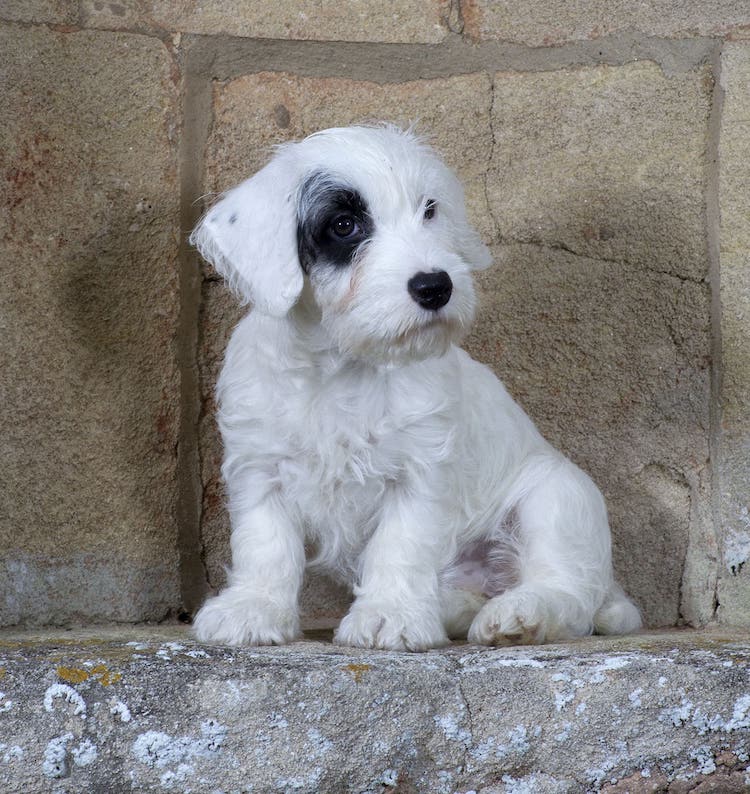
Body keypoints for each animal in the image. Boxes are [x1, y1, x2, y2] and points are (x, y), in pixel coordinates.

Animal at [191, 120, 644, 648]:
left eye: (429, 210)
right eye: (343, 225)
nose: (436, 286)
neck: (342, 365)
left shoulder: (418, 471)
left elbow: (400, 546)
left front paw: (390, 614)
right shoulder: (261, 468)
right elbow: (265, 545)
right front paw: (254, 607)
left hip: (556, 497)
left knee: (569, 595)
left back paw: (518, 615)